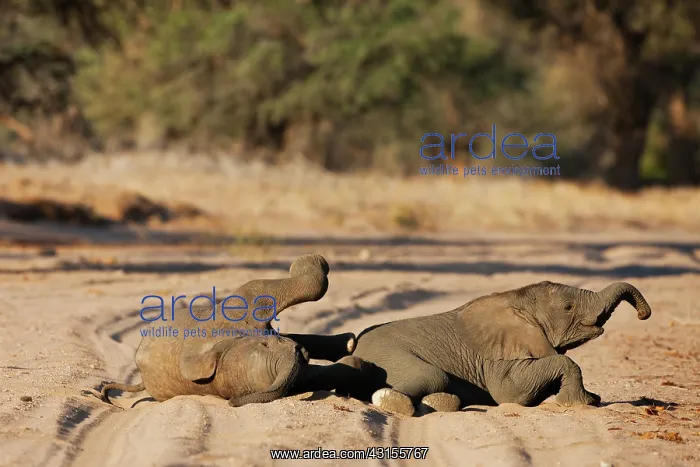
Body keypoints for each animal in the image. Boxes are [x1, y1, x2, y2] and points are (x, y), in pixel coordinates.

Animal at [328, 281, 653, 416]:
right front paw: (582, 404)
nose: (643, 314)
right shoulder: (496, 354)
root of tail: (357, 342)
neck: (518, 300)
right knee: (432, 375)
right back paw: (393, 402)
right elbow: (510, 391)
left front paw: (591, 399)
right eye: (568, 307)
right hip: (385, 354)